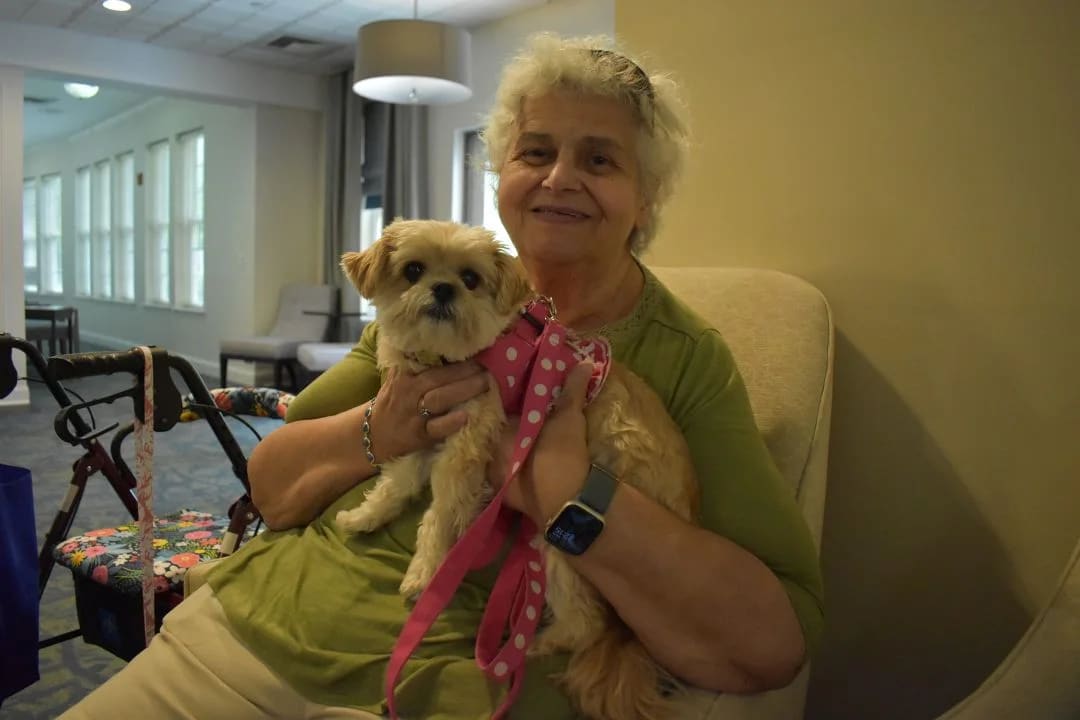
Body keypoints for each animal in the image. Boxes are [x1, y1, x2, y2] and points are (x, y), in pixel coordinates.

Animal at [334, 219, 699, 720]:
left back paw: (535, 645)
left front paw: (425, 571)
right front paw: (363, 517)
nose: (444, 288)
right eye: (413, 270)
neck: (448, 358)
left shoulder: (466, 443)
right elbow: (396, 484)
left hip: (561, 540)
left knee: (587, 621)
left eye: (470, 278)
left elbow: (438, 515)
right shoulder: (426, 432)